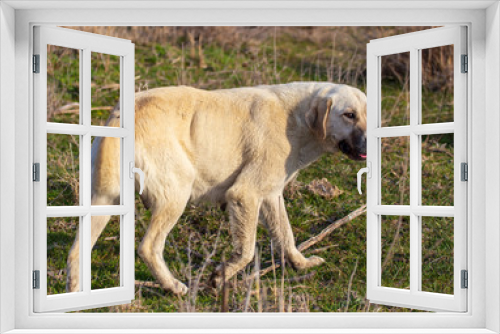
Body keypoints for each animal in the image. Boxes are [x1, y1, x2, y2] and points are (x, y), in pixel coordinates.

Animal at [66, 81, 368, 294]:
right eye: (349, 115)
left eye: (366, 115)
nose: (369, 144)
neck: (297, 116)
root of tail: (122, 115)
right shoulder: (245, 195)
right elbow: (246, 251)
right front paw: (220, 276)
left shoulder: (271, 196)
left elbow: (286, 237)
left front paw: (301, 264)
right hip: (176, 195)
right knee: (149, 247)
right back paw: (173, 286)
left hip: (103, 200)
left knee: (76, 251)